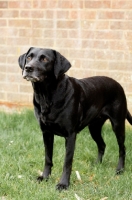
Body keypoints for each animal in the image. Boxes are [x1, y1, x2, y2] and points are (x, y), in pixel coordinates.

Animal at [18, 47, 132, 191]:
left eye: (44, 59)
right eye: (29, 57)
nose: (28, 68)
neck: (47, 95)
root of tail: (119, 85)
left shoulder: (70, 135)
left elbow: (67, 162)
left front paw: (63, 184)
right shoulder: (46, 133)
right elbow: (48, 158)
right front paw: (44, 177)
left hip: (117, 124)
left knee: (122, 148)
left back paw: (120, 169)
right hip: (94, 128)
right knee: (102, 144)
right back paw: (97, 164)